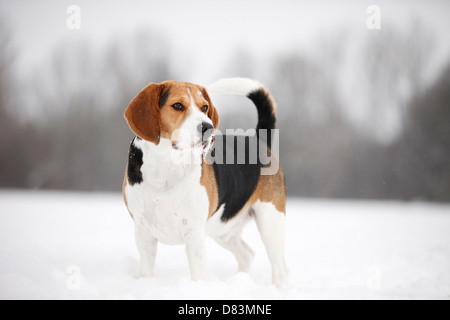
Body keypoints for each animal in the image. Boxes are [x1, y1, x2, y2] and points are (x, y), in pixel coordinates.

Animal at [121, 78, 286, 288]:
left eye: (204, 107)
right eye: (178, 105)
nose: (208, 127)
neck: (167, 164)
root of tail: (259, 141)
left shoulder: (194, 234)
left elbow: (197, 275)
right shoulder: (143, 232)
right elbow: (146, 271)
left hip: (270, 222)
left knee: (280, 268)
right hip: (224, 228)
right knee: (247, 254)